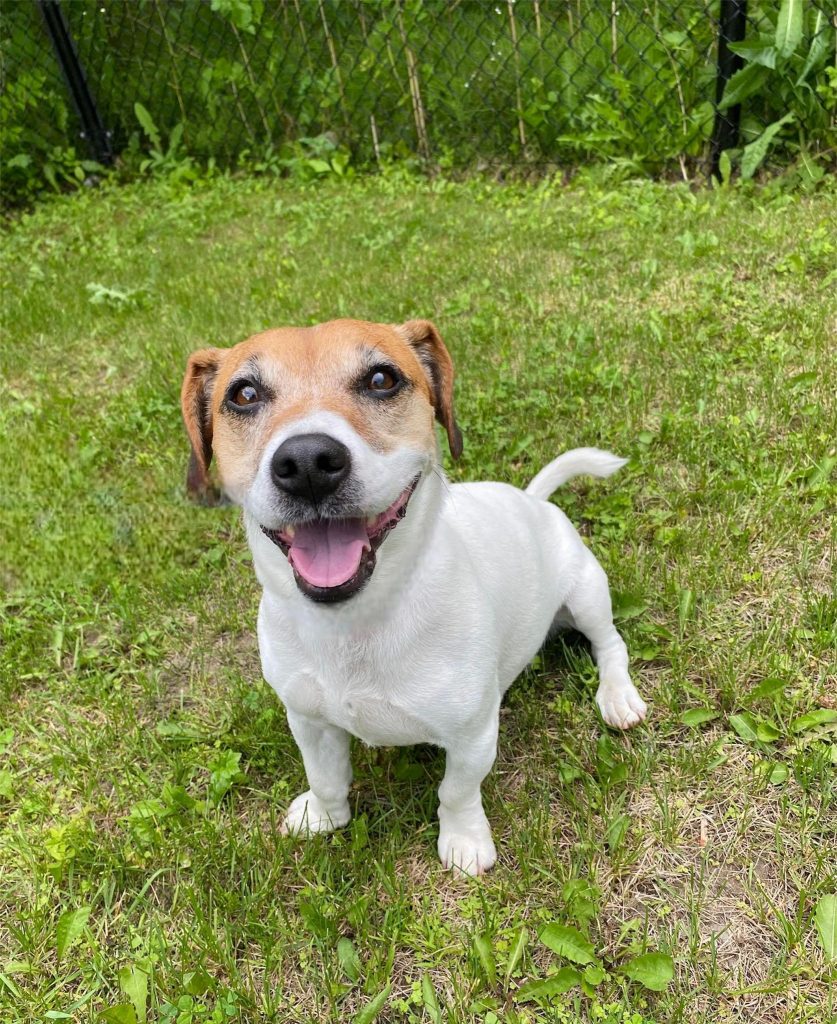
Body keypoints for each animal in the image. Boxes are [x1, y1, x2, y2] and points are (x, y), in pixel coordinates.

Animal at [181, 318, 647, 875]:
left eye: (382, 379)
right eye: (244, 394)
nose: (308, 462)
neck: (354, 621)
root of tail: (533, 500)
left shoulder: (472, 735)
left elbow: (457, 792)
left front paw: (464, 841)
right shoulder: (308, 720)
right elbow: (325, 776)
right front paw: (323, 816)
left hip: (587, 594)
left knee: (611, 644)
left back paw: (617, 696)